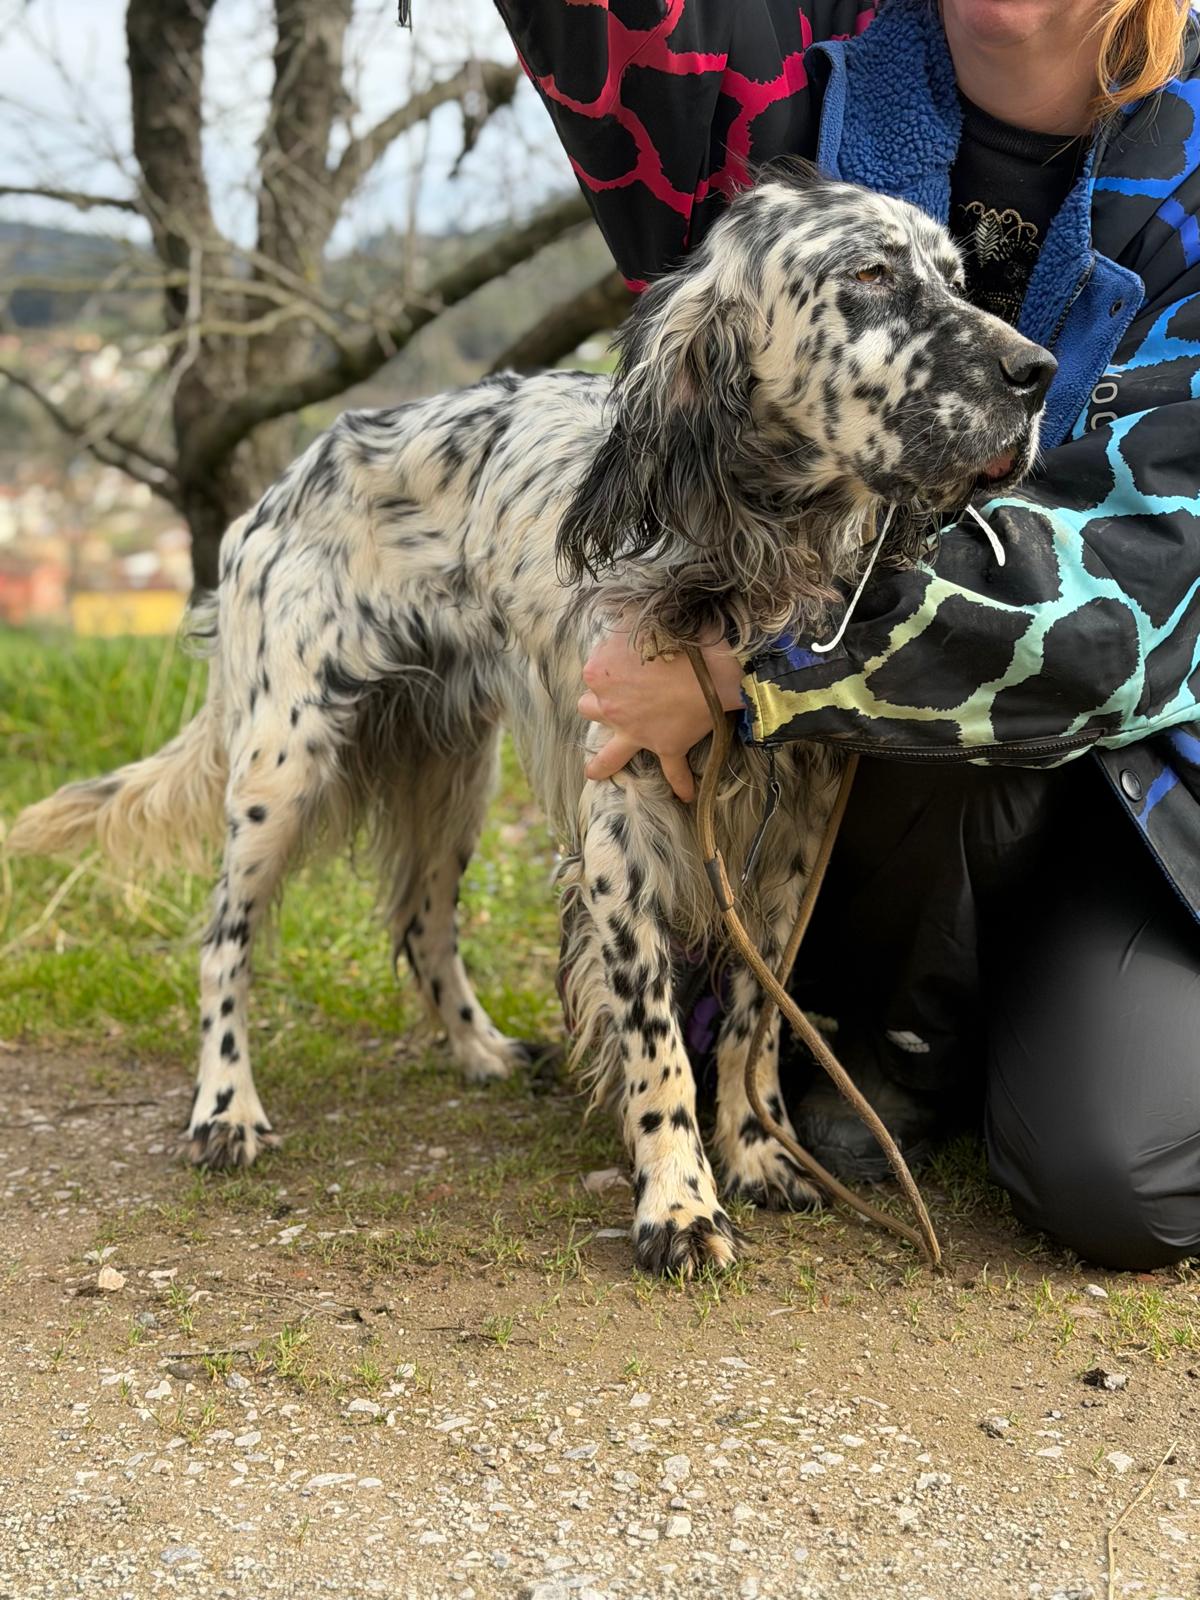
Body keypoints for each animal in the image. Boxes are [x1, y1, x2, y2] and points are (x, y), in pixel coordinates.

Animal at [10, 166, 1055, 1276]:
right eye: (869, 275)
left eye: (958, 278)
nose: (1037, 371)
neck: (751, 562)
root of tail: (285, 482)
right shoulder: (623, 834)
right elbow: (659, 1045)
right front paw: (680, 1204)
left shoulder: (789, 842)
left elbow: (753, 1020)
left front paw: (758, 1152)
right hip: (282, 764)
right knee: (223, 941)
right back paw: (225, 1109)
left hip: (454, 772)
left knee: (423, 922)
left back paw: (478, 1049)